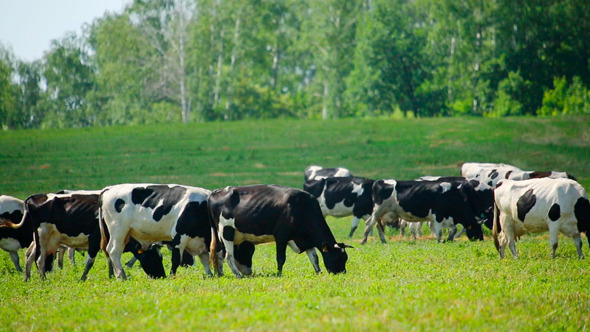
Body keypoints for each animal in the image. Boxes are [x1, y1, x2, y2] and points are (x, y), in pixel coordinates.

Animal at [2, 191, 164, 282]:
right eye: (156, 258)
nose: (162, 275)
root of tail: (34, 197)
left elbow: (110, 259)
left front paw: (111, 276)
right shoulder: (95, 239)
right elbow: (90, 261)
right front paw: (83, 278)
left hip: (42, 239)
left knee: (30, 256)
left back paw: (26, 278)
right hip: (42, 235)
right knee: (40, 259)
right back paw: (43, 280)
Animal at [207, 184, 350, 278]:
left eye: (345, 258)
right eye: (338, 257)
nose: (342, 273)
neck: (302, 207)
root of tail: (216, 192)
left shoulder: (306, 240)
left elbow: (314, 258)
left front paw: (318, 272)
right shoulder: (282, 236)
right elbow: (281, 258)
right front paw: (279, 274)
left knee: (219, 253)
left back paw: (220, 274)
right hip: (226, 231)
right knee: (228, 255)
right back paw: (237, 275)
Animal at [360, 176, 494, 244]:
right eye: (477, 227)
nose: (481, 239)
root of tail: (379, 181)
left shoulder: (449, 217)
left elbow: (454, 228)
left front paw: (449, 239)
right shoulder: (438, 215)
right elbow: (439, 231)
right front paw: (440, 241)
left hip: (382, 214)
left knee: (377, 226)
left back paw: (383, 241)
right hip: (378, 211)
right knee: (369, 224)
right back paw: (364, 241)